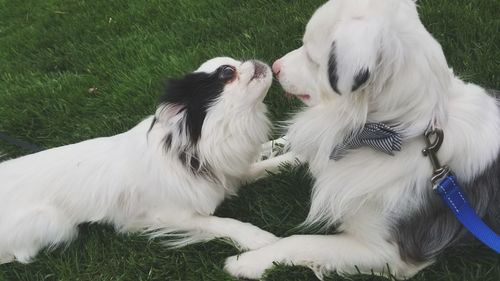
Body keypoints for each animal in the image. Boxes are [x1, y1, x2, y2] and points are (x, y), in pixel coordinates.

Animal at [0, 56, 280, 262]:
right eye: (226, 73)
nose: (254, 61)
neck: (197, 147)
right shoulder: (166, 216)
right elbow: (222, 223)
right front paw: (256, 238)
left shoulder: (230, 175)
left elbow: (265, 165)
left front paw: (284, 149)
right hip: (53, 223)